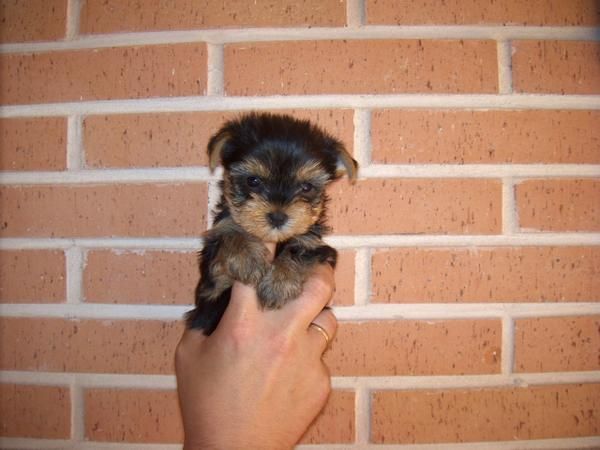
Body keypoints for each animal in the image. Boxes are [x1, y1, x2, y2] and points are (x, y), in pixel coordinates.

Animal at [188, 112, 356, 334]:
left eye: (306, 187)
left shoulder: (321, 250)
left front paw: (279, 282)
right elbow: (228, 231)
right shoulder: (212, 285)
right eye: (253, 181)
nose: (278, 216)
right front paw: (247, 256)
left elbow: (301, 250)